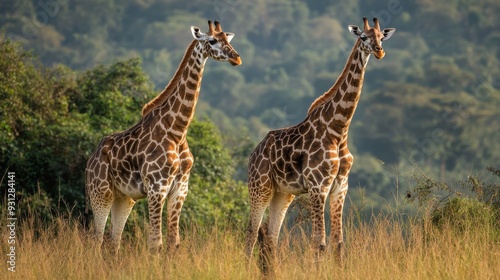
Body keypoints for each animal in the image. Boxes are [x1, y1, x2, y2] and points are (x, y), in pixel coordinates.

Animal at [86, 20, 242, 254]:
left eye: (227, 40)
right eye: (213, 41)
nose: (236, 58)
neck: (177, 131)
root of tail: (90, 160)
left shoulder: (180, 188)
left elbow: (173, 242)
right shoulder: (156, 187)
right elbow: (155, 244)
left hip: (124, 198)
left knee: (114, 241)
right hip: (100, 192)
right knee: (96, 239)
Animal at [245, 17, 394, 270]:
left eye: (381, 37)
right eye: (363, 37)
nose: (379, 51)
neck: (339, 130)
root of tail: (253, 155)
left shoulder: (340, 187)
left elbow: (338, 243)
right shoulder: (318, 186)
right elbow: (319, 242)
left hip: (282, 193)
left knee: (271, 235)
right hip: (260, 187)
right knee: (252, 233)